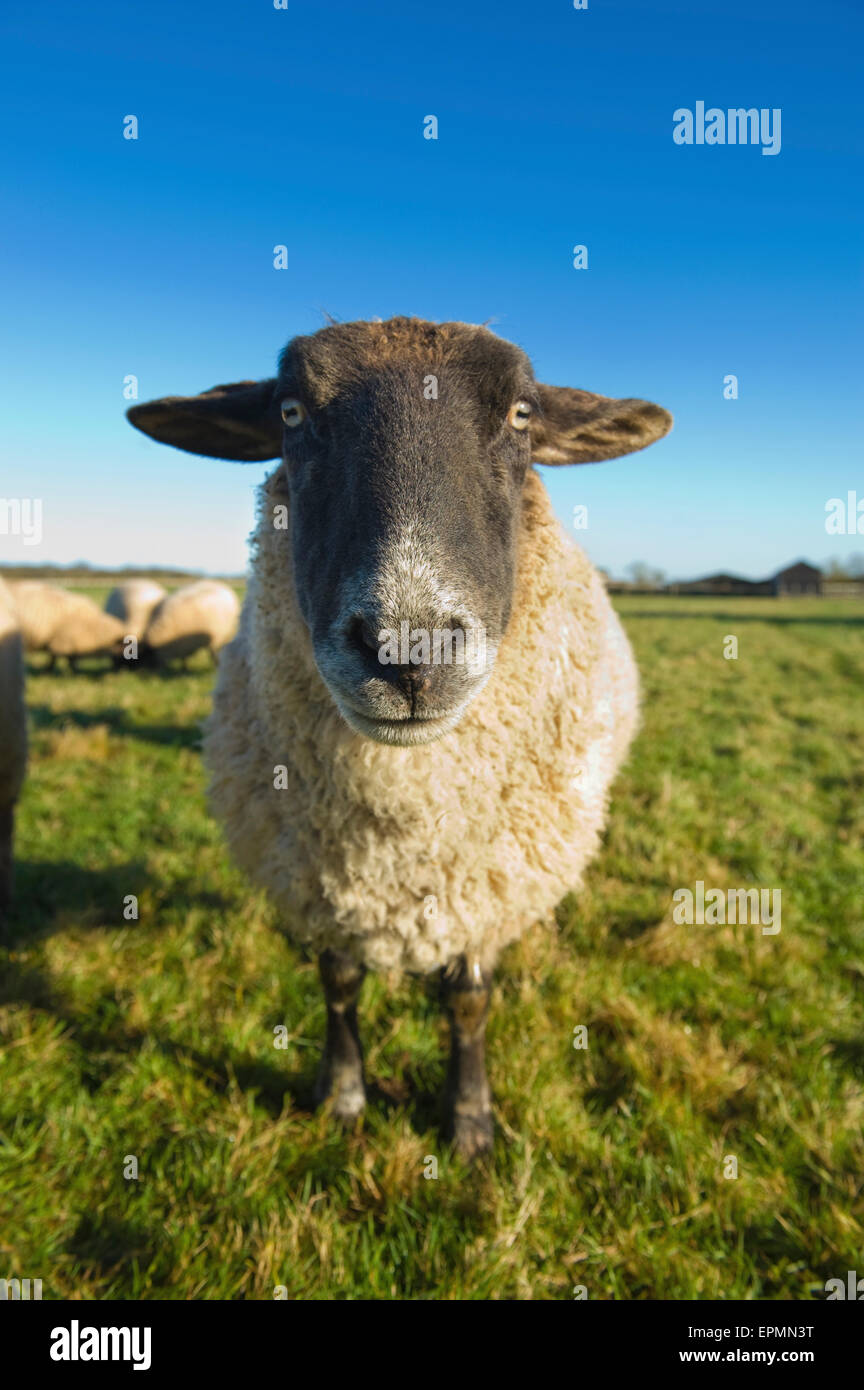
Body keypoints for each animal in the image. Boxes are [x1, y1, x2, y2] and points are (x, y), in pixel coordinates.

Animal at [125, 318, 675, 1162]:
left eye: (522, 413)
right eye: (290, 412)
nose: (409, 649)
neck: (399, 828)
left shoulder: (481, 889)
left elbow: (468, 1002)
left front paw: (470, 1122)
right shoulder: (322, 880)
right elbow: (338, 983)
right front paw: (342, 1094)